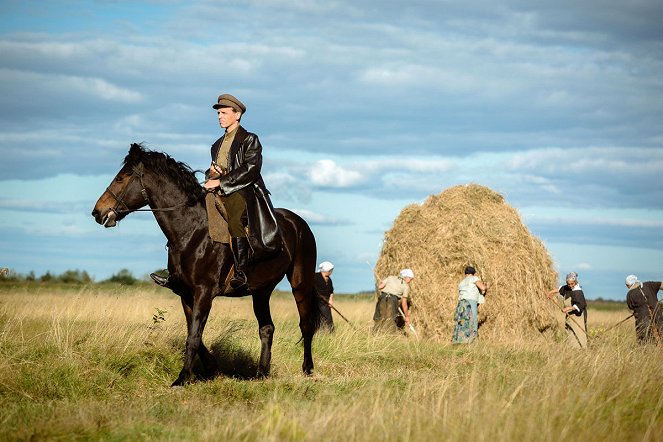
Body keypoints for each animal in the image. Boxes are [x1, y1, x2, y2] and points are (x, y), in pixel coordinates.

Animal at [92, 143, 322, 386]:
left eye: (121, 178)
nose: (97, 212)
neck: (192, 230)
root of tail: (299, 223)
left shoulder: (204, 292)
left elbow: (193, 336)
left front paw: (182, 378)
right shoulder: (186, 293)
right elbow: (194, 333)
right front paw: (212, 368)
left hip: (300, 283)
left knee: (306, 325)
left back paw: (307, 369)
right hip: (261, 290)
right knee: (267, 328)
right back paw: (261, 372)